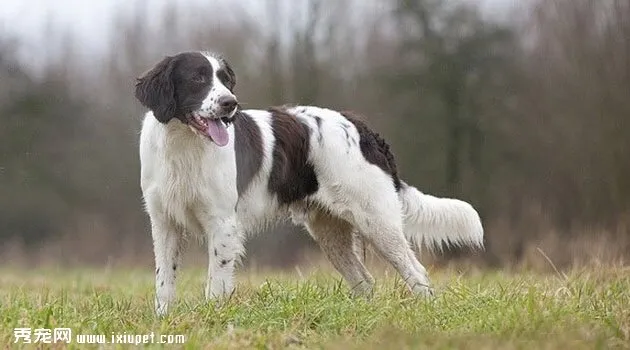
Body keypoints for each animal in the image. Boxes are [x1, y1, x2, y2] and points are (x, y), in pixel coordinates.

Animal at [136, 51, 486, 314]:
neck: (184, 145)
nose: (229, 103)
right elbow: (164, 281)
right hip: (330, 231)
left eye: (225, 80)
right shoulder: (164, 223)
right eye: (197, 78)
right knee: (365, 281)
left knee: (417, 272)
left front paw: (215, 320)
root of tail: (360, 126)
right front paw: (164, 321)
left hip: (377, 222)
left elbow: (216, 284)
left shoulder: (222, 225)